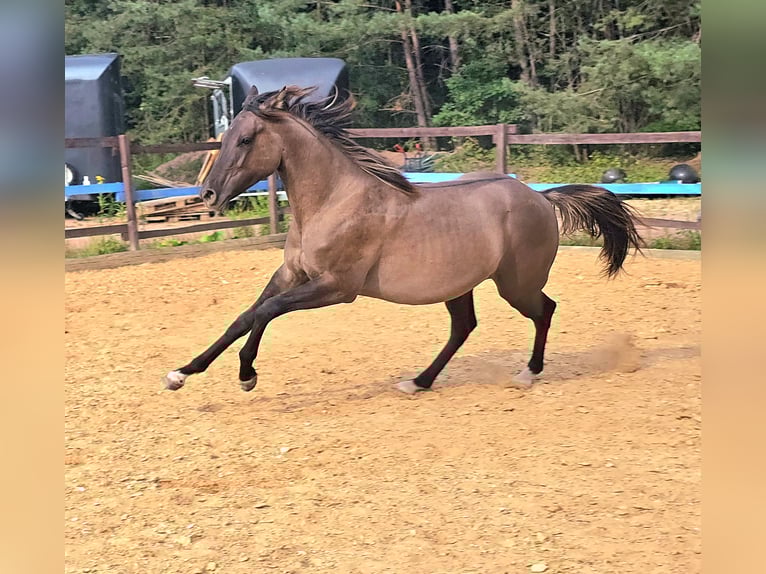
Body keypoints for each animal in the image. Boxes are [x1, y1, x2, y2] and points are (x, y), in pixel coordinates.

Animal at [163, 85, 642, 395]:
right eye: (225, 136)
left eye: (246, 138)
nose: (208, 195)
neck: (334, 200)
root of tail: (542, 197)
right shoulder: (291, 274)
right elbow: (245, 316)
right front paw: (181, 373)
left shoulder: (336, 287)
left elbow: (266, 312)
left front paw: (247, 375)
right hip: (460, 285)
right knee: (464, 327)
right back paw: (419, 381)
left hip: (515, 284)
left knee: (545, 310)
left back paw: (528, 373)